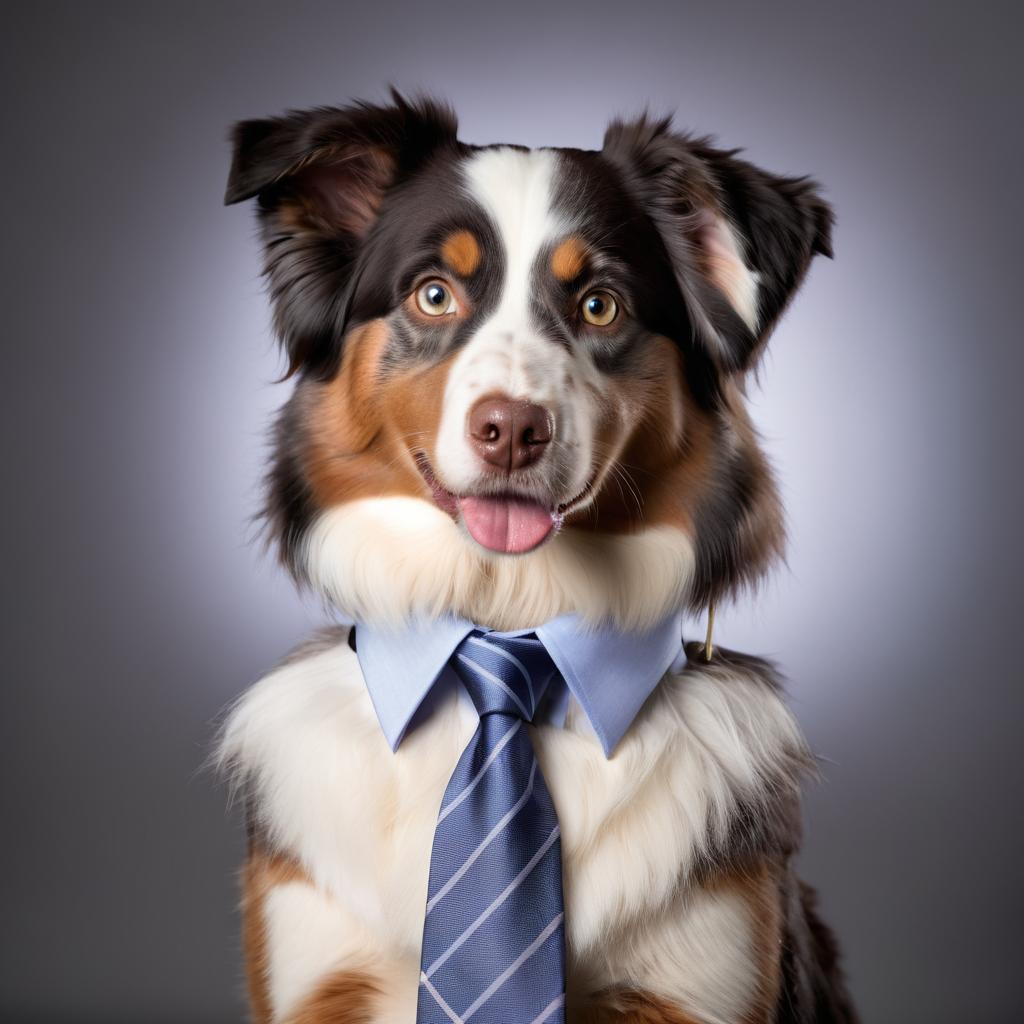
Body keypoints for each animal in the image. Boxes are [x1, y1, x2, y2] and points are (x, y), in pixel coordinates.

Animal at [220, 92, 860, 1019]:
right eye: (434, 294)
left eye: (600, 306)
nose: (513, 428)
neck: (506, 620)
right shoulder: (314, 975)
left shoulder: (702, 978)